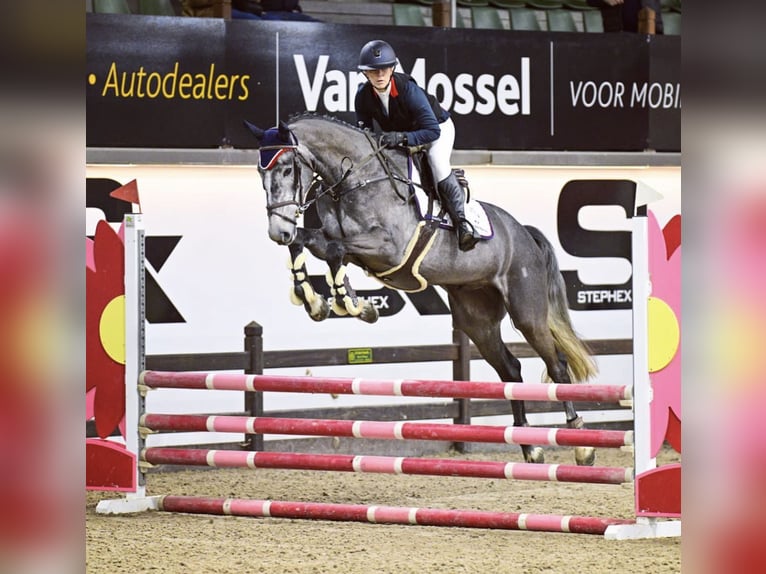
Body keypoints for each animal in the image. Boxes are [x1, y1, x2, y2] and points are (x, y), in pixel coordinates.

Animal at [246, 113, 600, 468]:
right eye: (261, 173)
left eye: (287, 169)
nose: (277, 231)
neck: (356, 178)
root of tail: (525, 234)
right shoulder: (343, 243)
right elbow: (310, 244)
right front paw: (322, 301)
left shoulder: (387, 248)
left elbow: (333, 249)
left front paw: (348, 302)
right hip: (477, 320)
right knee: (511, 371)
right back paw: (530, 448)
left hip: (527, 312)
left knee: (557, 366)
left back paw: (582, 445)